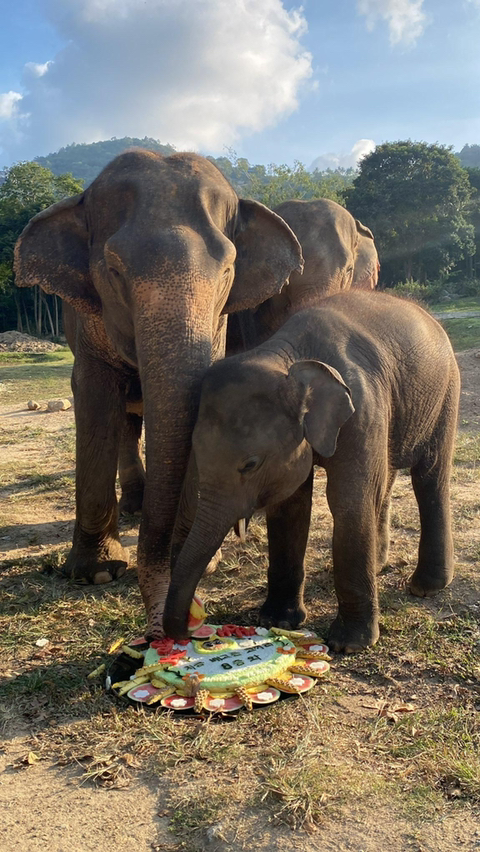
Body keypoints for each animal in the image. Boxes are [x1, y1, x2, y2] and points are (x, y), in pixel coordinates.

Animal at [15, 150, 302, 636]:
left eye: (228, 271)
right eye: (113, 270)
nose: (166, 625)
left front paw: (200, 561)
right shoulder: (85, 327)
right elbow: (94, 401)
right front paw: (96, 572)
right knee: (125, 424)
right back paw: (133, 506)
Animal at [166, 292, 462, 652]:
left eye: (250, 464)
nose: (190, 630)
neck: (285, 358)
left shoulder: (362, 409)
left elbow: (348, 501)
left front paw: (348, 644)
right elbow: (289, 506)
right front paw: (278, 621)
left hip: (445, 393)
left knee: (429, 477)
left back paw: (426, 587)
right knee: (385, 480)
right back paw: (379, 566)